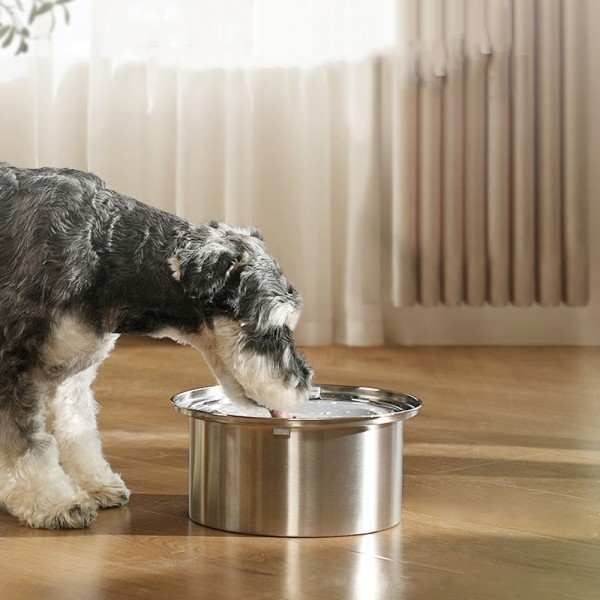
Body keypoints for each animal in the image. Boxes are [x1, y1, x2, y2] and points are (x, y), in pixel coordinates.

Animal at [1, 163, 314, 528]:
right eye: (273, 328)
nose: (305, 384)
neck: (106, 258)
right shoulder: (14, 367)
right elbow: (28, 444)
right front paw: (55, 502)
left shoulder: (71, 372)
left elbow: (78, 428)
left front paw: (94, 483)